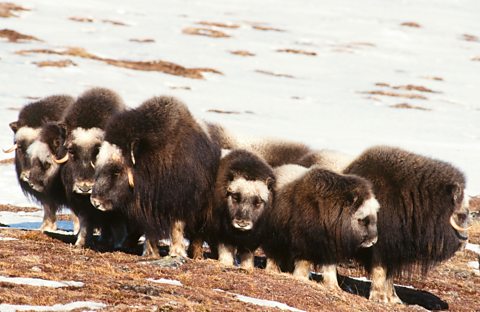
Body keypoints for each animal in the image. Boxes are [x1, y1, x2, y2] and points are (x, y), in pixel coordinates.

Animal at [90, 96, 219, 260]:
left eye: (117, 171)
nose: (95, 201)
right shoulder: (146, 207)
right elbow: (148, 230)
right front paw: (150, 252)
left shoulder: (178, 201)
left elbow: (177, 227)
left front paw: (176, 253)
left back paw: (196, 255)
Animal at [344, 147, 470, 304]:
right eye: (461, 214)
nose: (464, 243)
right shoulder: (382, 245)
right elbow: (380, 270)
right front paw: (379, 297)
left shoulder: (394, 250)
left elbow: (390, 275)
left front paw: (394, 299)